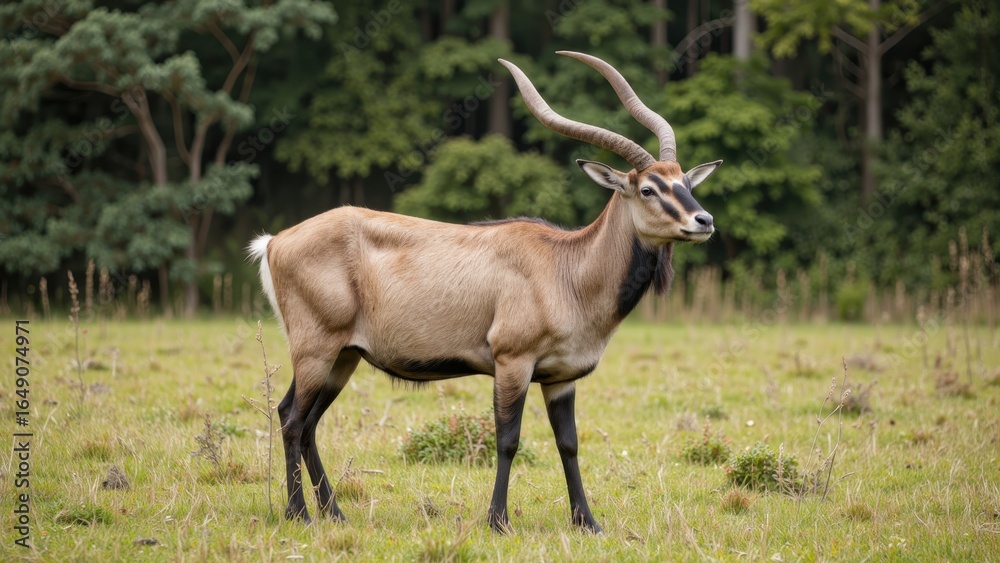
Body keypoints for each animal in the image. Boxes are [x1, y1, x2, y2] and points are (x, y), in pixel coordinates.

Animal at [248, 51, 721, 533]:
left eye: (685, 182)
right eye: (648, 188)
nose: (703, 221)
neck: (567, 268)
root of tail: (275, 242)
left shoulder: (560, 379)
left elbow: (568, 443)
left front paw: (588, 522)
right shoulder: (512, 362)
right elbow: (508, 439)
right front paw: (498, 520)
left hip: (343, 357)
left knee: (304, 421)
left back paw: (335, 512)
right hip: (316, 349)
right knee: (291, 419)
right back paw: (299, 513)